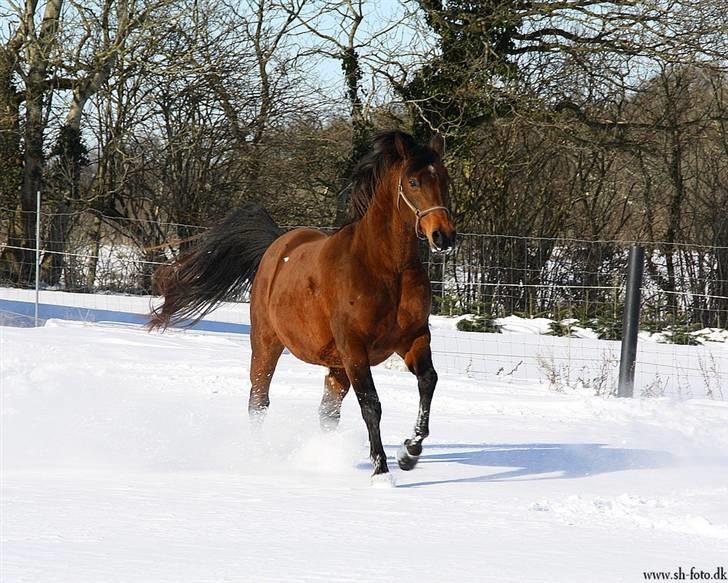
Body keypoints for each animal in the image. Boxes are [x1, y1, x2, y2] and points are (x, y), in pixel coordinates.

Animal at [149, 132, 456, 480]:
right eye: (413, 181)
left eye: (445, 179)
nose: (444, 236)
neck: (388, 269)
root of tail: (275, 245)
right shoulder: (355, 348)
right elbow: (371, 404)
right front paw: (381, 470)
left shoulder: (413, 338)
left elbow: (428, 381)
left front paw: (409, 453)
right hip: (267, 345)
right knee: (259, 401)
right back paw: (260, 456)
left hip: (336, 366)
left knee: (327, 413)